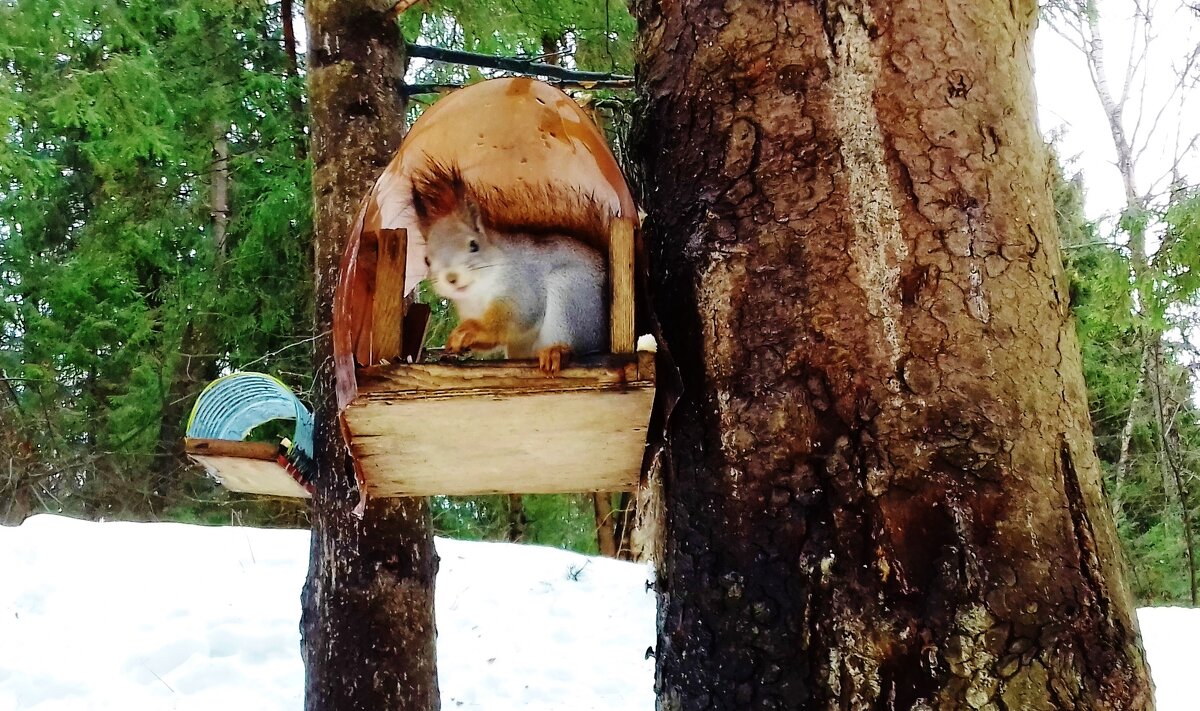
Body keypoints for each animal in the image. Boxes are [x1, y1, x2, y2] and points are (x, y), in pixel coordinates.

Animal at [412, 164, 604, 374]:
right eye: (427, 260)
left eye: (474, 245)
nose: (452, 277)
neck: (477, 293)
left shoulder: (522, 284)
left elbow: (518, 316)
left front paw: (473, 330)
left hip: (573, 298)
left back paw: (558, 351)